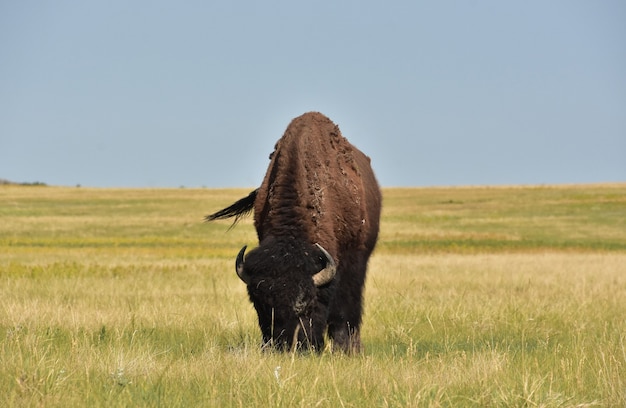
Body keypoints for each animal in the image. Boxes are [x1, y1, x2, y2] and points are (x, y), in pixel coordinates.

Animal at [206, 111, 380, 354]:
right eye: (260, 305)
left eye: (305, 305)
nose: (285, 346)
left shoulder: (352, 260)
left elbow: (345, 307)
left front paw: (345, 349)